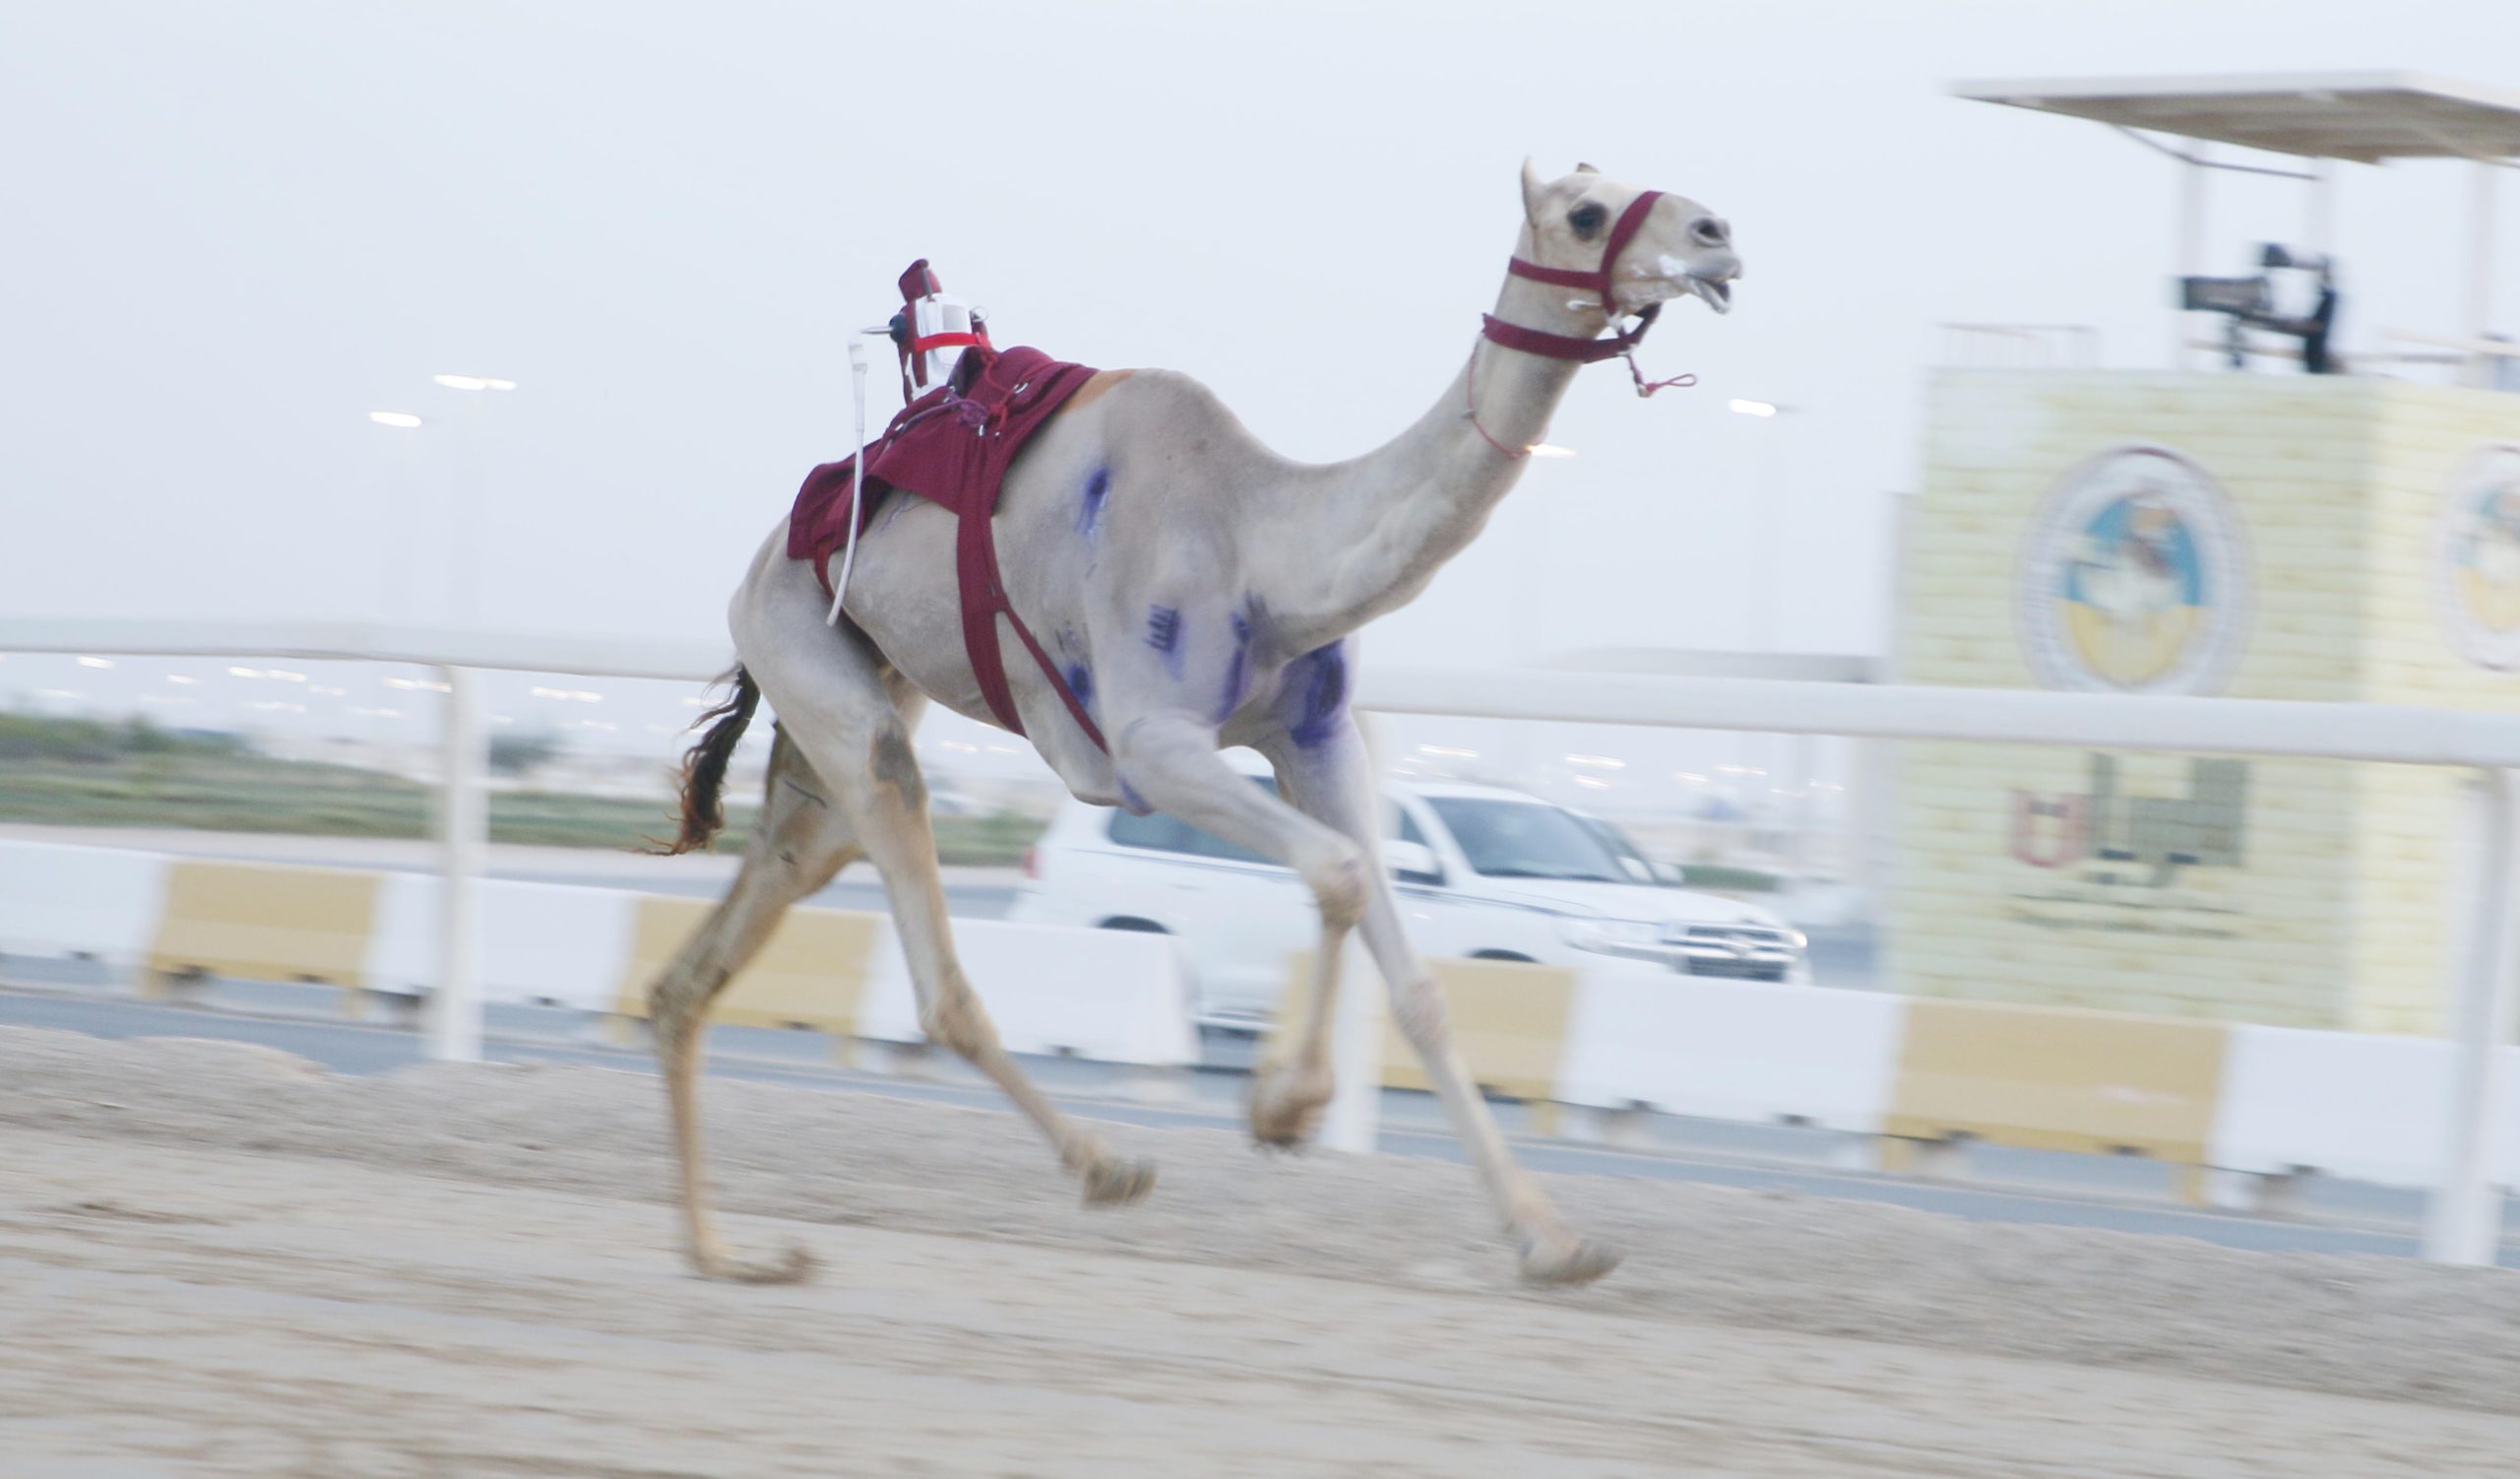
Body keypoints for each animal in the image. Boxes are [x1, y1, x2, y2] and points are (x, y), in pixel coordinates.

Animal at [650, 162, 1743, 1290]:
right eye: (1584, 211)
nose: (1717, 234)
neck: (1265, 544)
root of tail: (760, 567)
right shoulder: (1149, 746)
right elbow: (1338, 874)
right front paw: (1285, 1107)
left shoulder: (1316, 735)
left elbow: (1405, 959)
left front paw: (1551, 1237)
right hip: (815, 660)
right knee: (922, 934)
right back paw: (1104, 1166)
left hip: (834, 723)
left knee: (708, 955)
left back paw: (724, 1253)